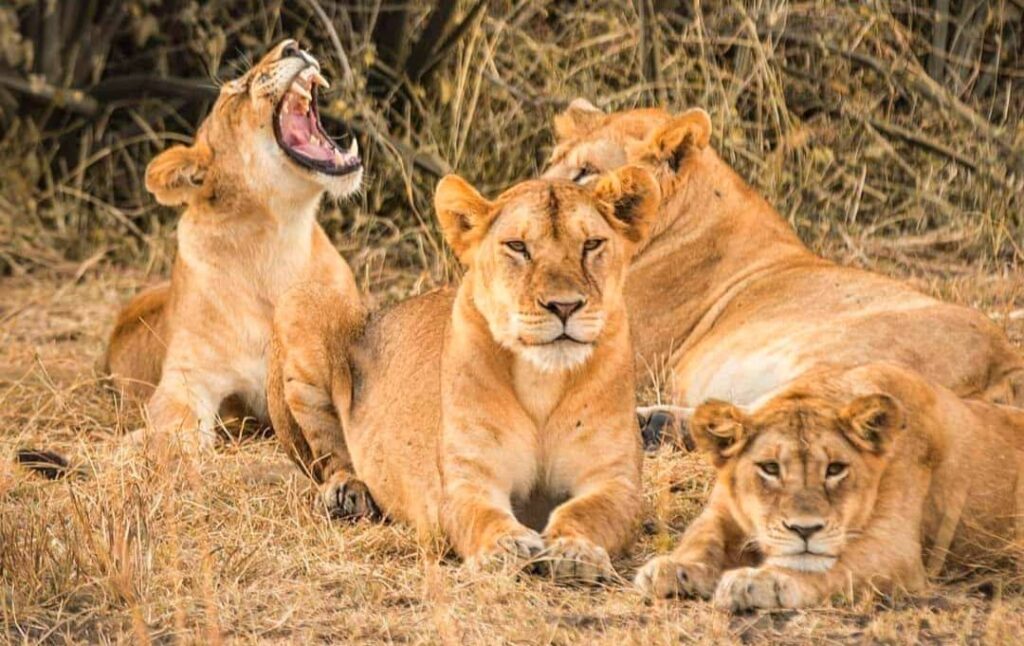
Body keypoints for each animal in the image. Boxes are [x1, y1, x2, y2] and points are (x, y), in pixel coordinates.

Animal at [268, 165, 659, 581]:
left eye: (592, 244)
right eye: (517, 246)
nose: (564, 306)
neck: (542, 381)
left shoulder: (615, 481)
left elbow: (588, 512)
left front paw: (575, 550)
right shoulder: (464, 480)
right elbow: (481, 515)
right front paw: (507, 546)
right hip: (301, 300)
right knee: (329, 458)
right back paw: (347, 493)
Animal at [634, 364, 1019, 610]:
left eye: (835, 469)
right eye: (770, 468)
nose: (805, 530)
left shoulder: (895, 547)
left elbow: (830, 566)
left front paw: (761, 582)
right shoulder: (723, 509)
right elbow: (702, 537)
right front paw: (671, 569)